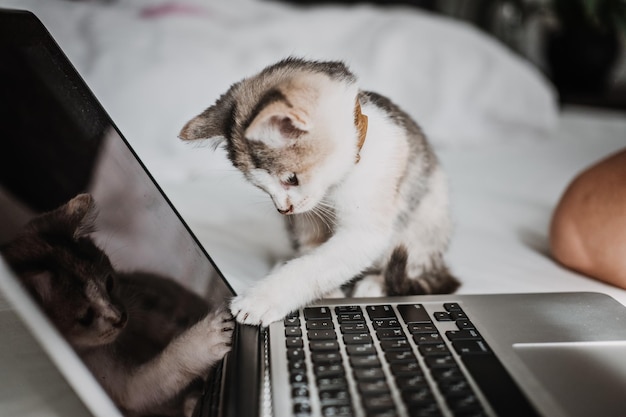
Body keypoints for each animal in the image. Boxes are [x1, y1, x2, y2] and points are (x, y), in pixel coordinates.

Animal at [0, 194, 234, 416]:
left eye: (110, 283)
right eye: (86, 316)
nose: (120, 318)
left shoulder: (144, 300)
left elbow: (170, 321)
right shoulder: (122, 387)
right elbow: (165, 369)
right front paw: (207, 338)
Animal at [178, 57, 456, 324]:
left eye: (291, 179)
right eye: (261, 187)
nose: (283, 209)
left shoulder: (366, 223)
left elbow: (318, 265)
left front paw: (260, 299)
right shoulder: (306, 220)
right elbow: (311, 253)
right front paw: (328, 293)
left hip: (424, 222)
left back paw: (374, 284)